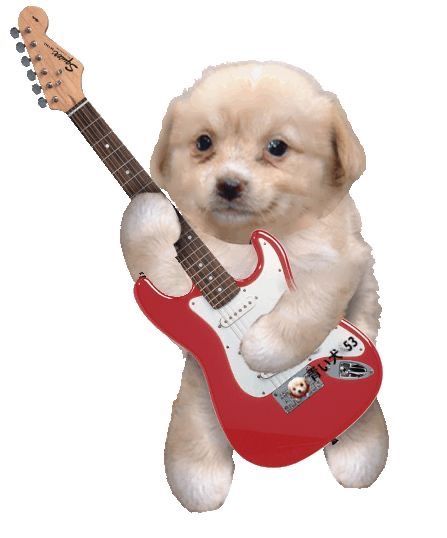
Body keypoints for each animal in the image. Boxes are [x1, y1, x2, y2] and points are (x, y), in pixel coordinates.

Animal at [121, 60, 390, 508]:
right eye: (204, 142)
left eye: (277, 147)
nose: (229, 184)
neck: (243, 241)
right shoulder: (175, 273)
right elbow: (149, 249)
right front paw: (149, 209)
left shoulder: (339, 260)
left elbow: (305, 307)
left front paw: (262, 348)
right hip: (198, 392)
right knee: (196, 423)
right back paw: (199, 477)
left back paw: (357, 450)